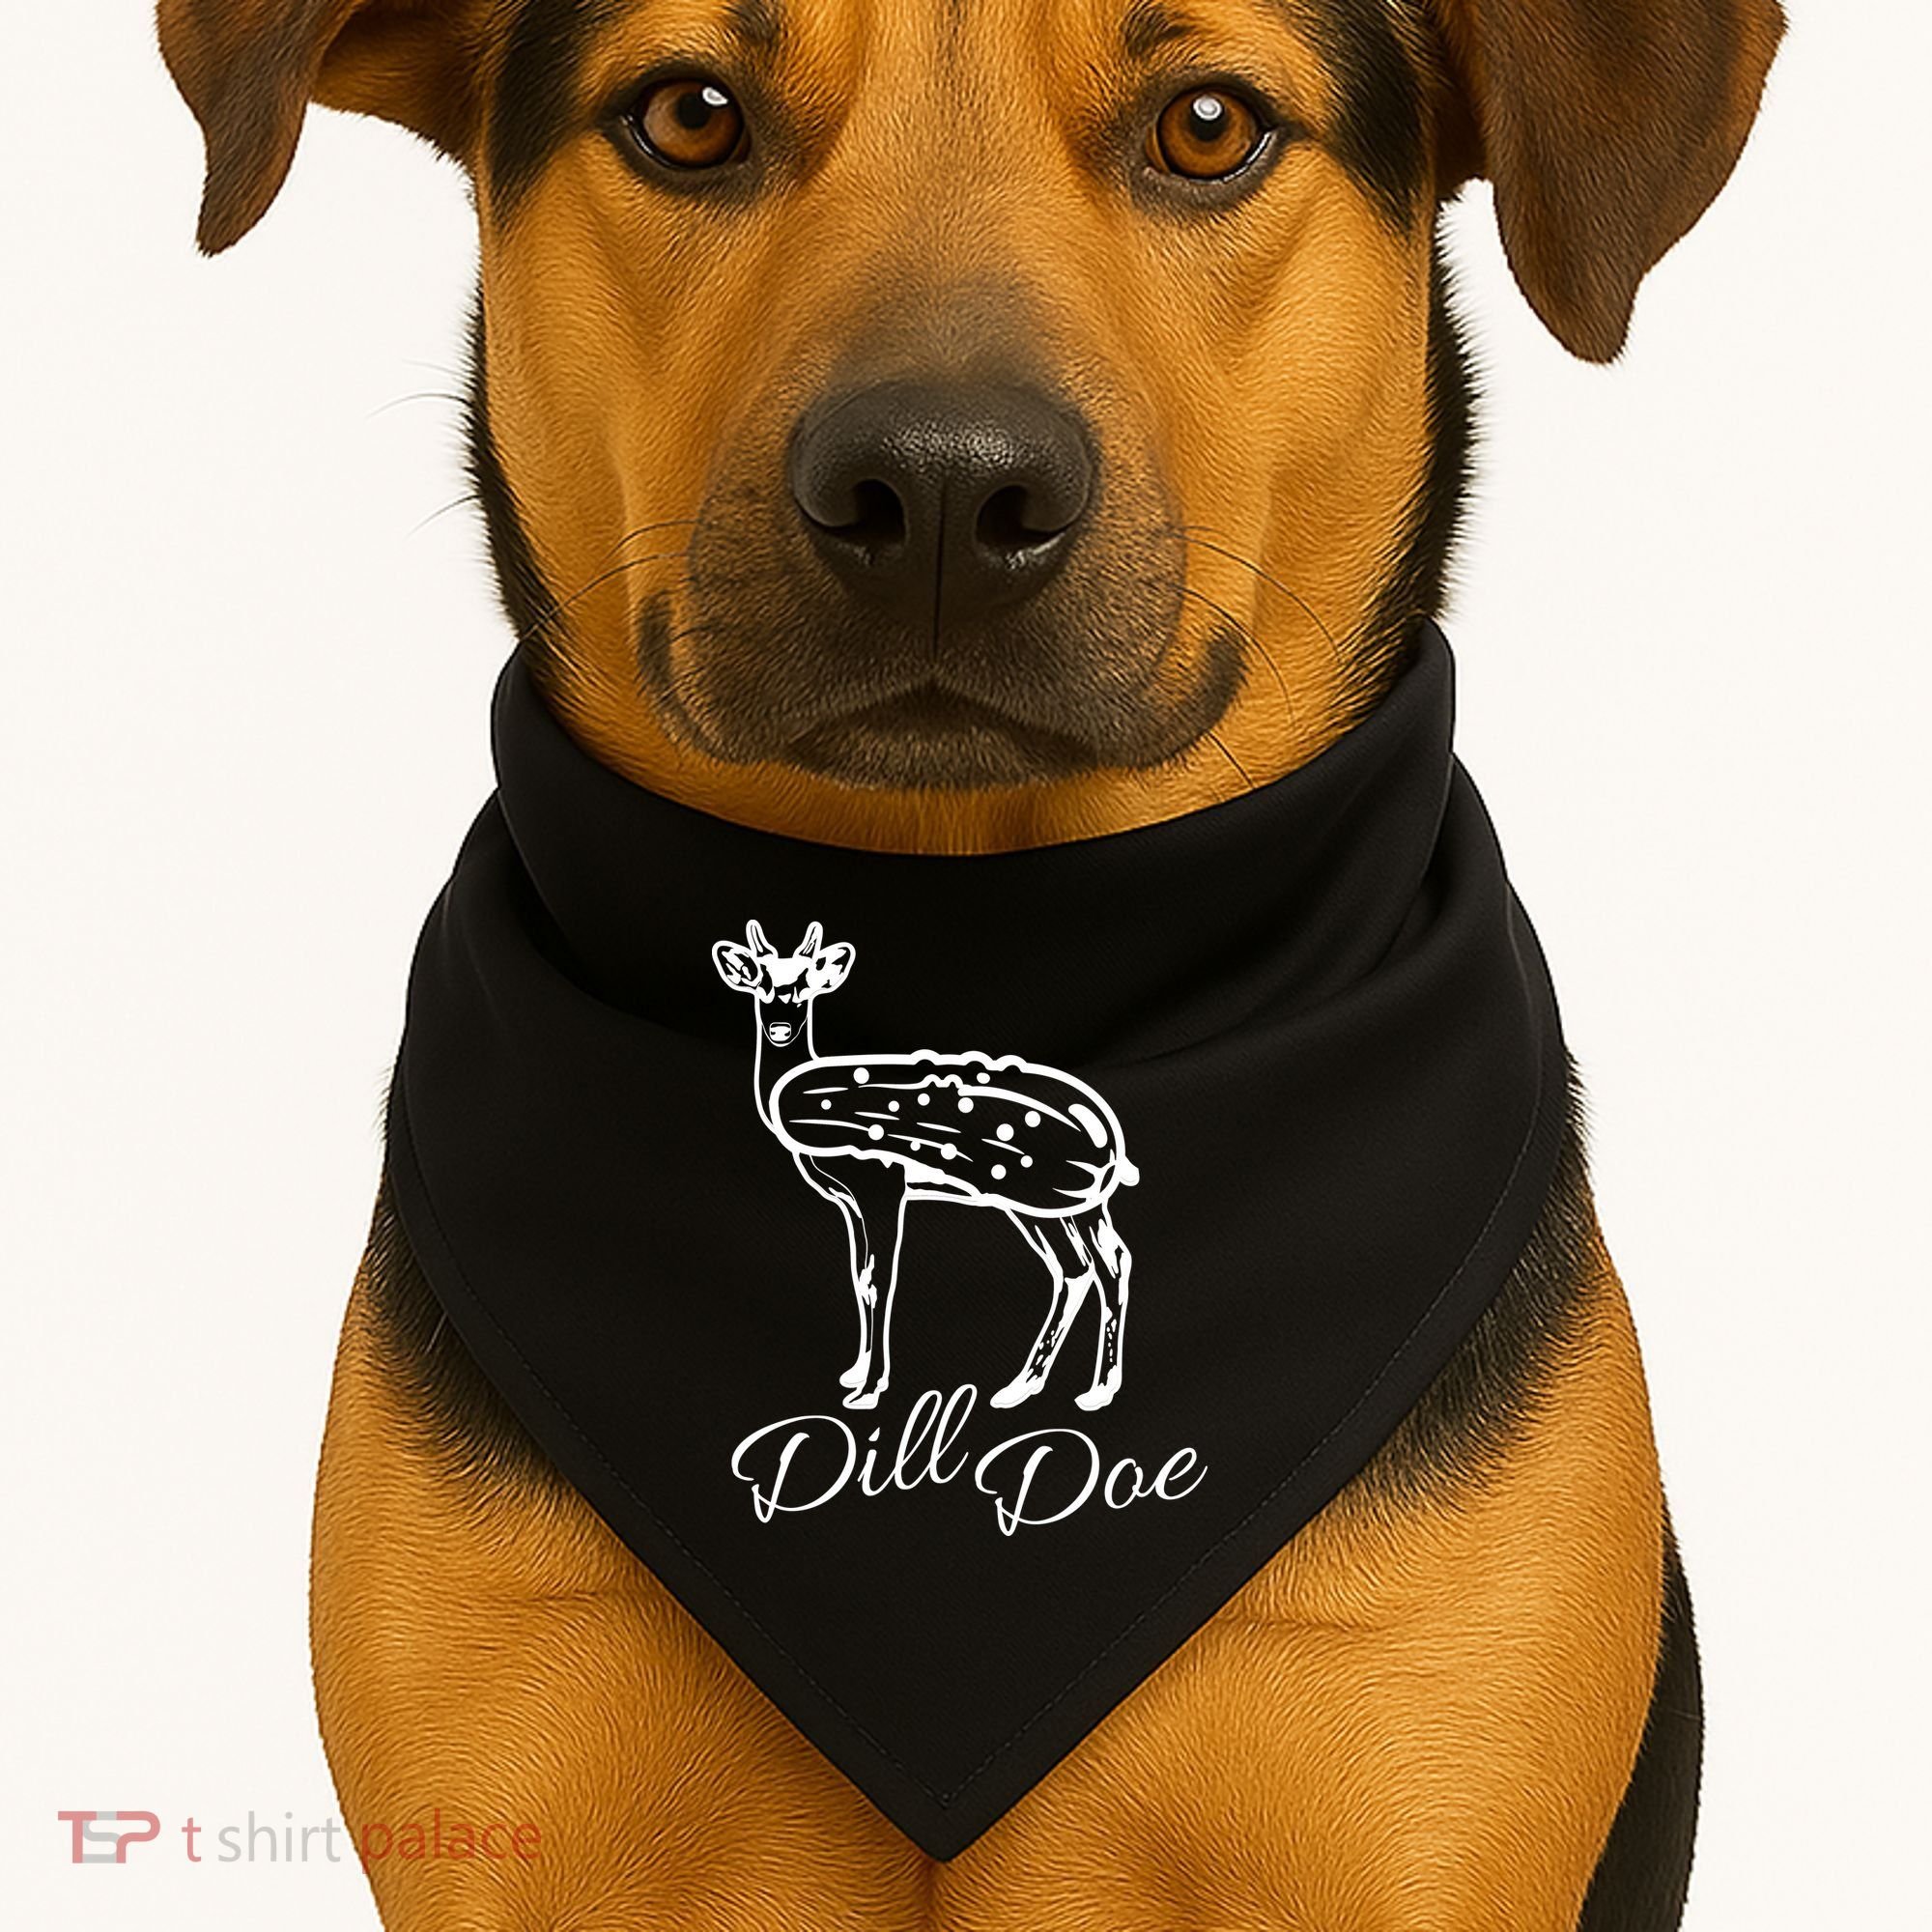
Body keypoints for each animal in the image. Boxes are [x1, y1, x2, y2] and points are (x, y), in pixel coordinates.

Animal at [713, 921, 1138, 1413]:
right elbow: (858, 1278)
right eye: (760, 982)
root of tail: (1110, 1134)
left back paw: (1088, 1390)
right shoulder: (848, 1201)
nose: (780, 1027)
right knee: (1091, 1266)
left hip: (1045, 1197)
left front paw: (869, 1390)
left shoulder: (880, 1181)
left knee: (1095, 1266)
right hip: (1071, 1204)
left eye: (807, 984)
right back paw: (1031, 1387)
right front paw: (854, 1373)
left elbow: (879, 1281)